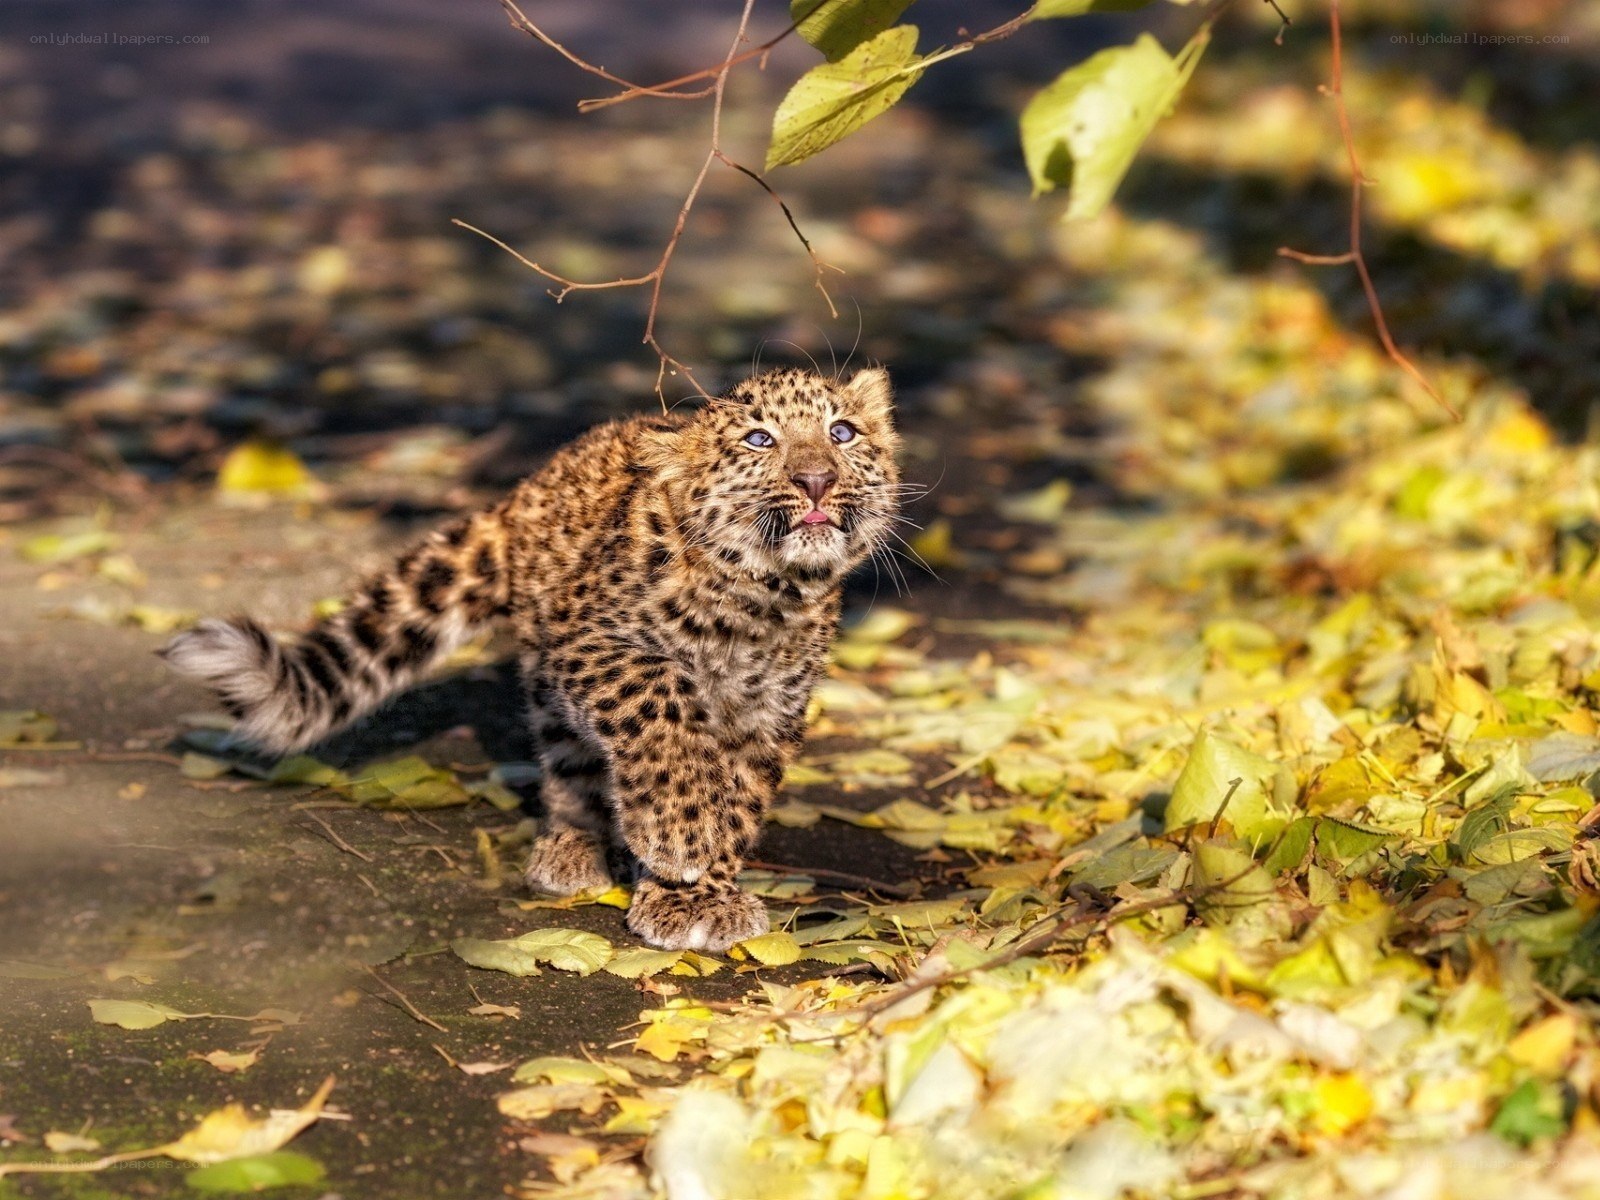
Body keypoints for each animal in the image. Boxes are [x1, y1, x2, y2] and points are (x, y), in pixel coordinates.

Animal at [161, 367, 901, 952]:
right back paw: (572, 848)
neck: (765, 597)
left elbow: (741, 797)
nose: (816, 480)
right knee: (569, 764)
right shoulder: (591, 642)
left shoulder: (769, 711)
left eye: (842, 433)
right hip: (550, 674)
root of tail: (525, 488)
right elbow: (661, 697)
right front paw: (677, 839)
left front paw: (701, 893)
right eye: (759, 441)